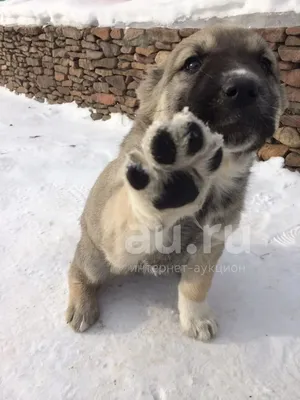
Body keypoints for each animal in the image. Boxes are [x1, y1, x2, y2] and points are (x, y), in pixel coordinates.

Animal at [65, 25, 286, 340]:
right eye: (192, 63)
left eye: (266, 64)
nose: (244, 88)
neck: (215, 176)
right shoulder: (118, 240)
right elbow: (133, 216)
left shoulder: (211, 242)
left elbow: (196, 285)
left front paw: (196, 318)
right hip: (94, 257)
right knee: (78, 271)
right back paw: (82, 306)